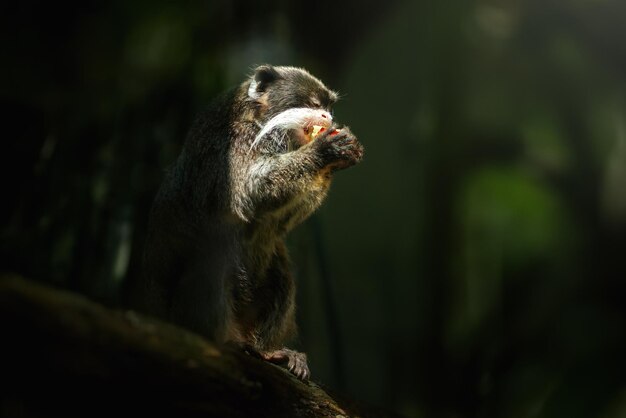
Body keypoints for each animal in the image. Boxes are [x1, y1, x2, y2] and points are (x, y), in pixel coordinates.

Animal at [140, 64, 360, 378]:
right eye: (314, 105)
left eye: (329, 108)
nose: (327, 118)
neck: (262, 122)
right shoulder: (234, 141)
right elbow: (249, 193)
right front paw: (325, 151)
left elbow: (279, 222)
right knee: (214, 257)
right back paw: (224, 341)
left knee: (280, 270)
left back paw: (266, 350)